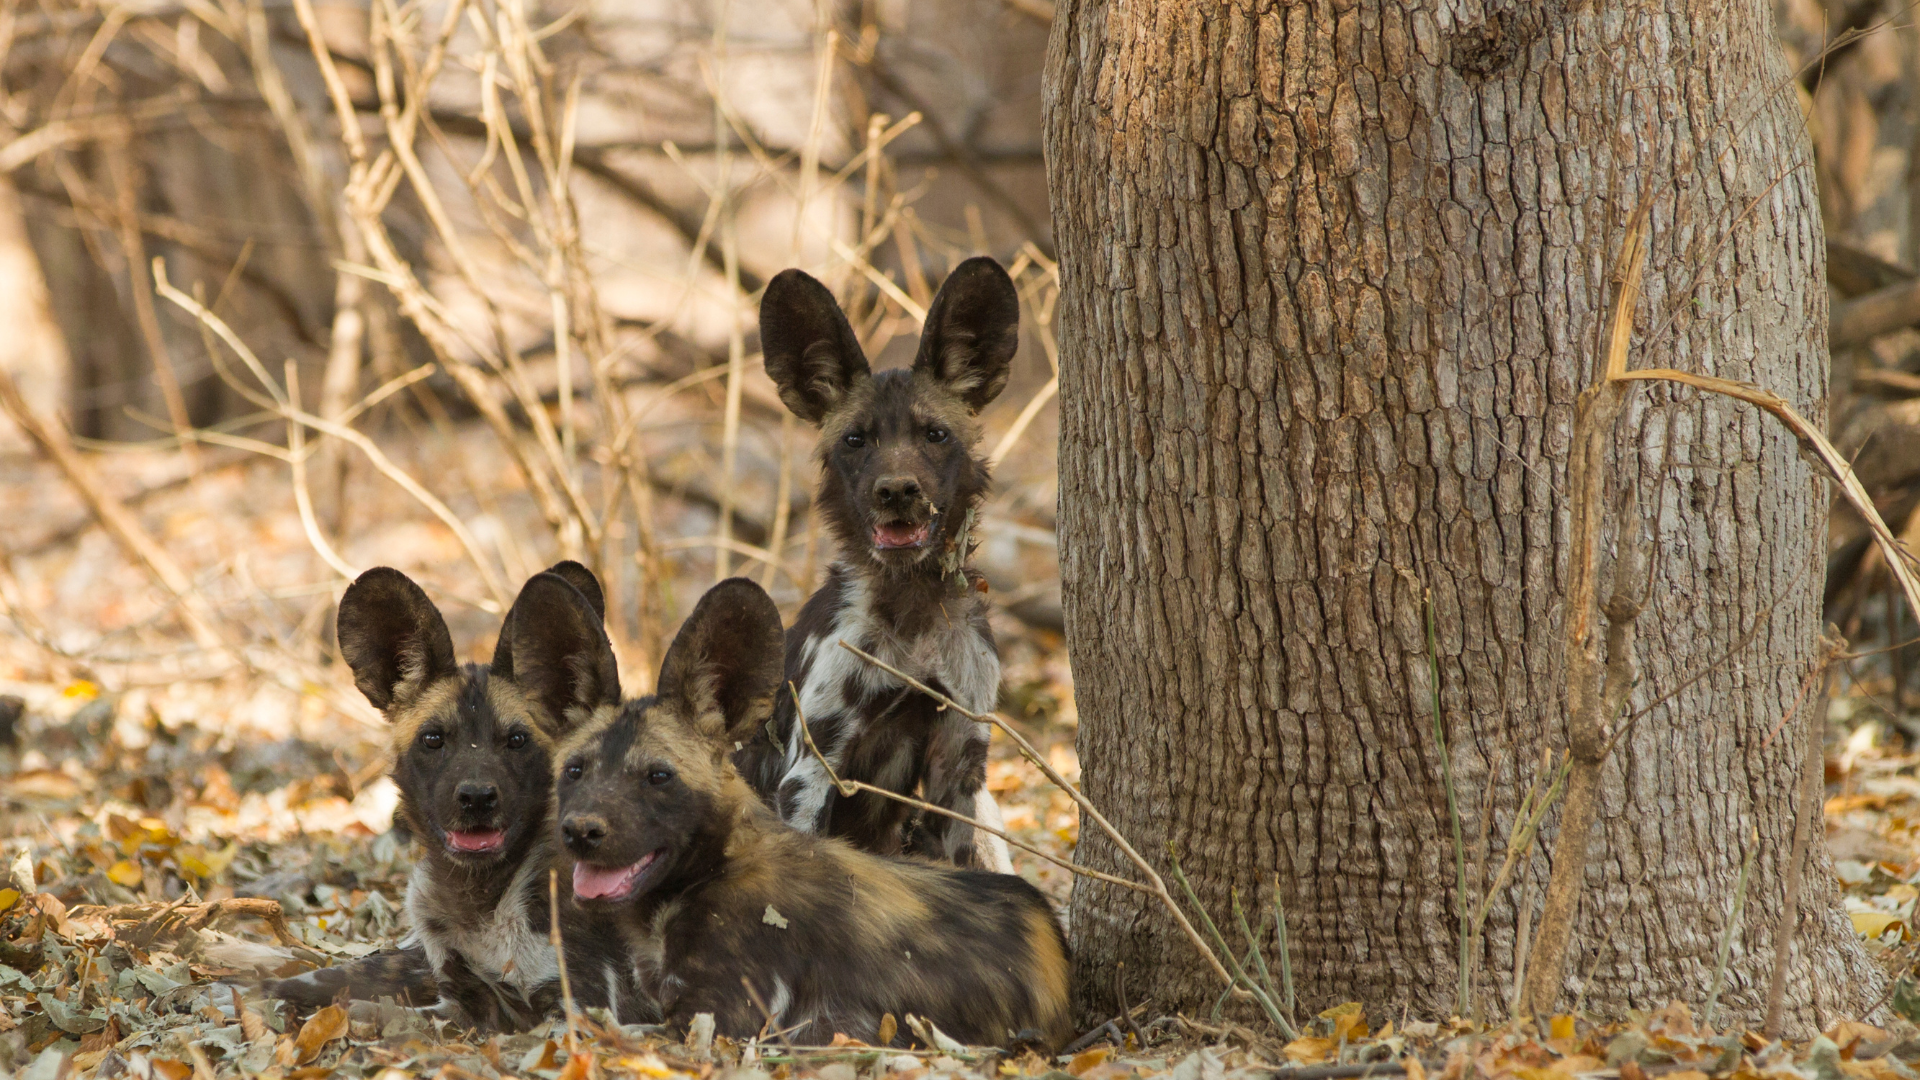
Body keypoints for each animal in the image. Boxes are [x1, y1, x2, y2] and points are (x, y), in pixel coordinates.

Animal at [268, 557, 614, 1022]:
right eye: (433, 739)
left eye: (517, 740)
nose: (477, 798)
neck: (479, 903)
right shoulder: (455, 985)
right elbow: (352, 976)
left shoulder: (575, 1011)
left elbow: (381, 1011)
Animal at [556, 576, 1075, 1045]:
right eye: (575, 771)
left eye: (659, 776)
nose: (581, 831)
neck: (713, 867)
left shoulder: (719, 1024)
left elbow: (598, 1027)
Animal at [733, 253, 1029, 864]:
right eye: (855, 440)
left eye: (935, 434)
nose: (896, 492)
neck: (913, 602)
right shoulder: (811, 773)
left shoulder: (960, 770)